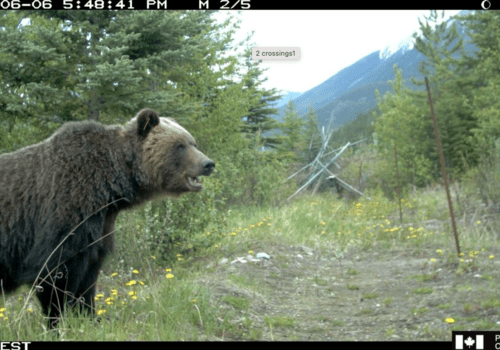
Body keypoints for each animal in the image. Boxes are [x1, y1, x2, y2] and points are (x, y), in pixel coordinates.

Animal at [0, 108, 213, 326]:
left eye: (193, 143)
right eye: (180, 145)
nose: (208, 164)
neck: (108, 188)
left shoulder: (100, 224)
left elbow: (89, 275)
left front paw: (90, 316)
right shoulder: (66, 208)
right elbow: (54, 270)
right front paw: (57, 321)